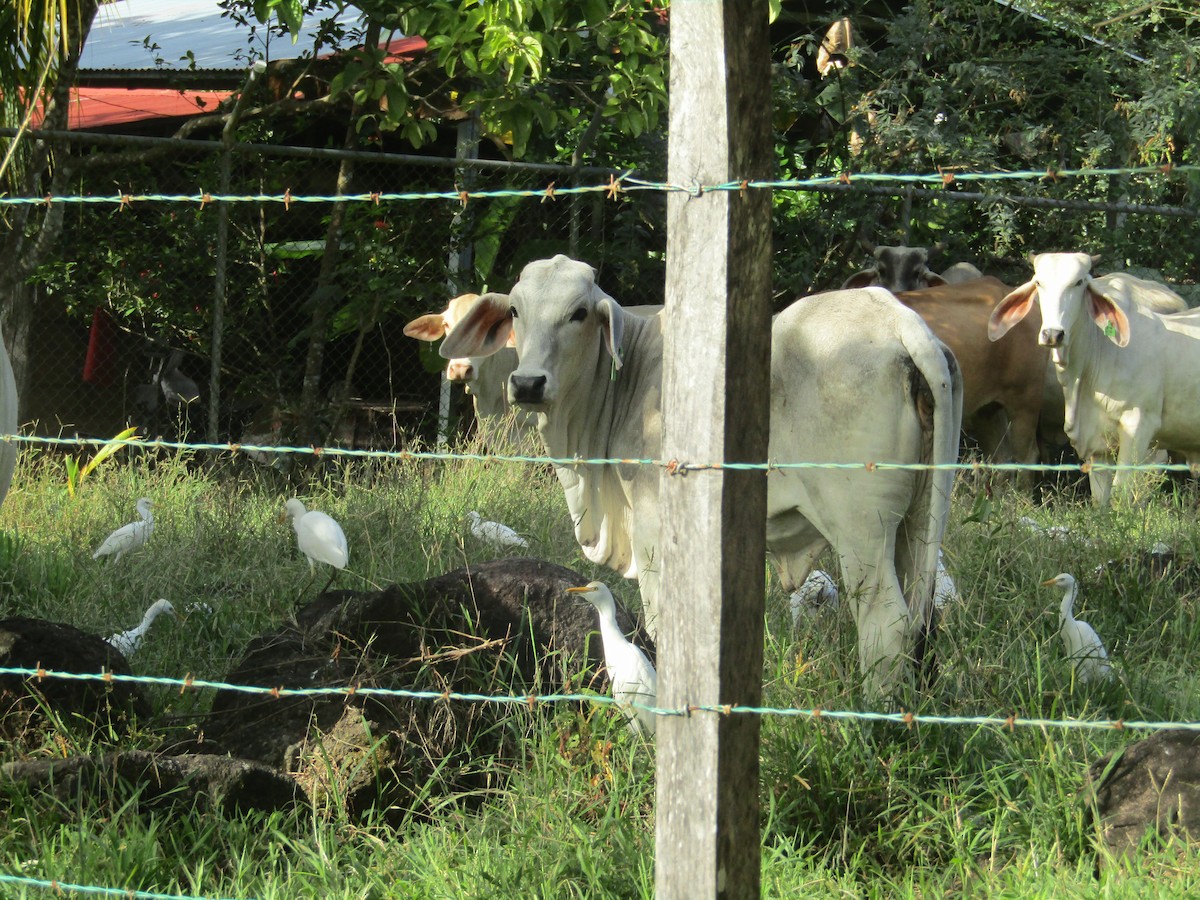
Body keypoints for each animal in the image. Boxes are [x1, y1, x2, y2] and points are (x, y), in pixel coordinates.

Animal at [444, 254, 964, 696]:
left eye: (579, 313)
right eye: (515, 310)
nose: (528, 383)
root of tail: (896, 320)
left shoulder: (653, 534)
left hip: (860, 530)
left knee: (885, 621)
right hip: (917, 522)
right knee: (920, 620)